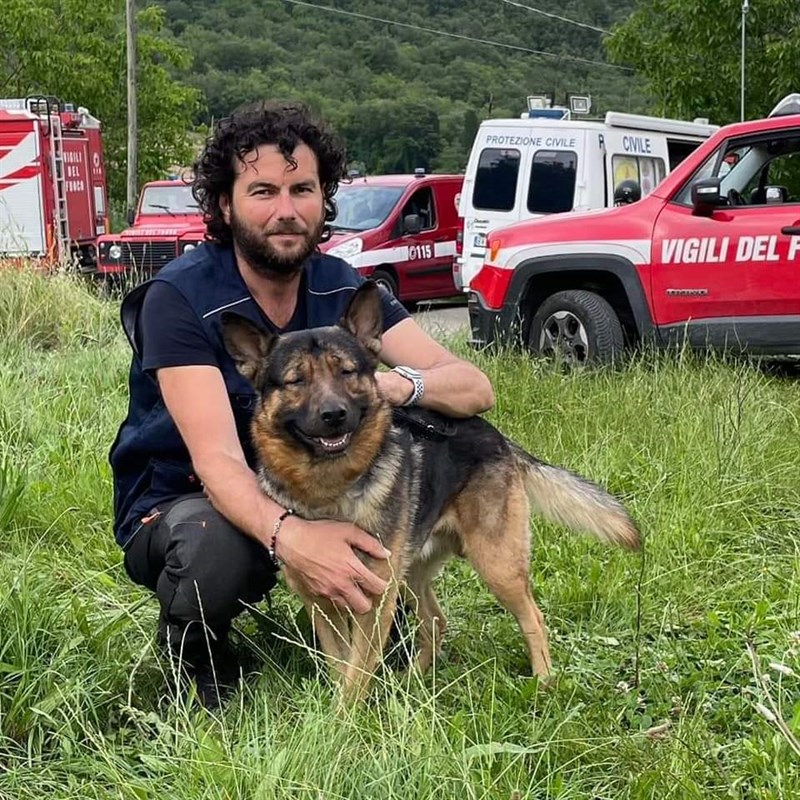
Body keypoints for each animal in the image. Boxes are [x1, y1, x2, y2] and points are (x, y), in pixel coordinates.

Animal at [222, 284, 640, 704]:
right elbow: (341, 666)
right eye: (296, 381)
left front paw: (347, 717)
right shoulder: (322, 604)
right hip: (410, 573)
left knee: (532, 617)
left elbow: (356, 673)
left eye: (347, 372)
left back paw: (543, 681)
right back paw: (414, 680)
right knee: (436, 621)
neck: (329, 490)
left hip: (496, 564)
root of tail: (496, 436)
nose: (334, 415)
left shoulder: (374, 600)